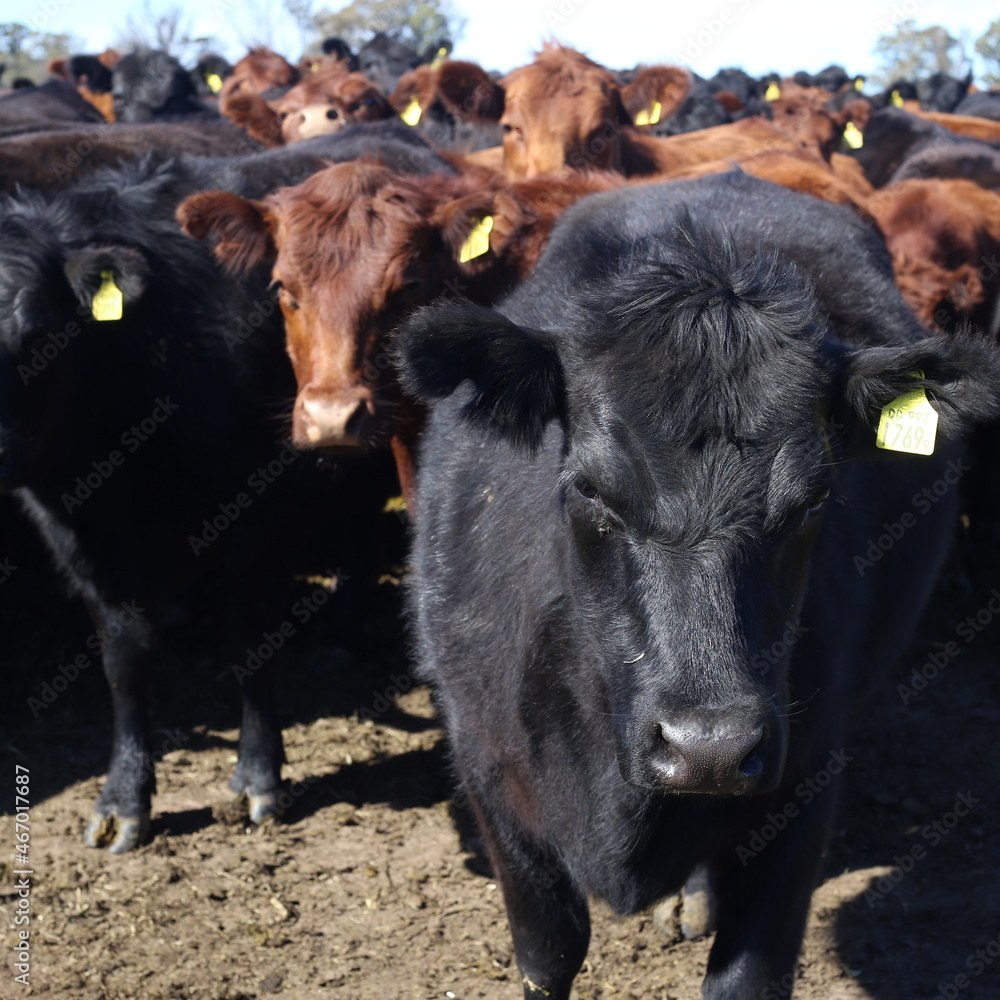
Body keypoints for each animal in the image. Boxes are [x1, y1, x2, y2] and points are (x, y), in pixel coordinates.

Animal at [391, 172, 1000, 1000]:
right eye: (589, 490)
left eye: (816, 498)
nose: (708, 747)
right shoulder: (488, 769)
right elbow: (549, 953)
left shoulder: (804, 782)